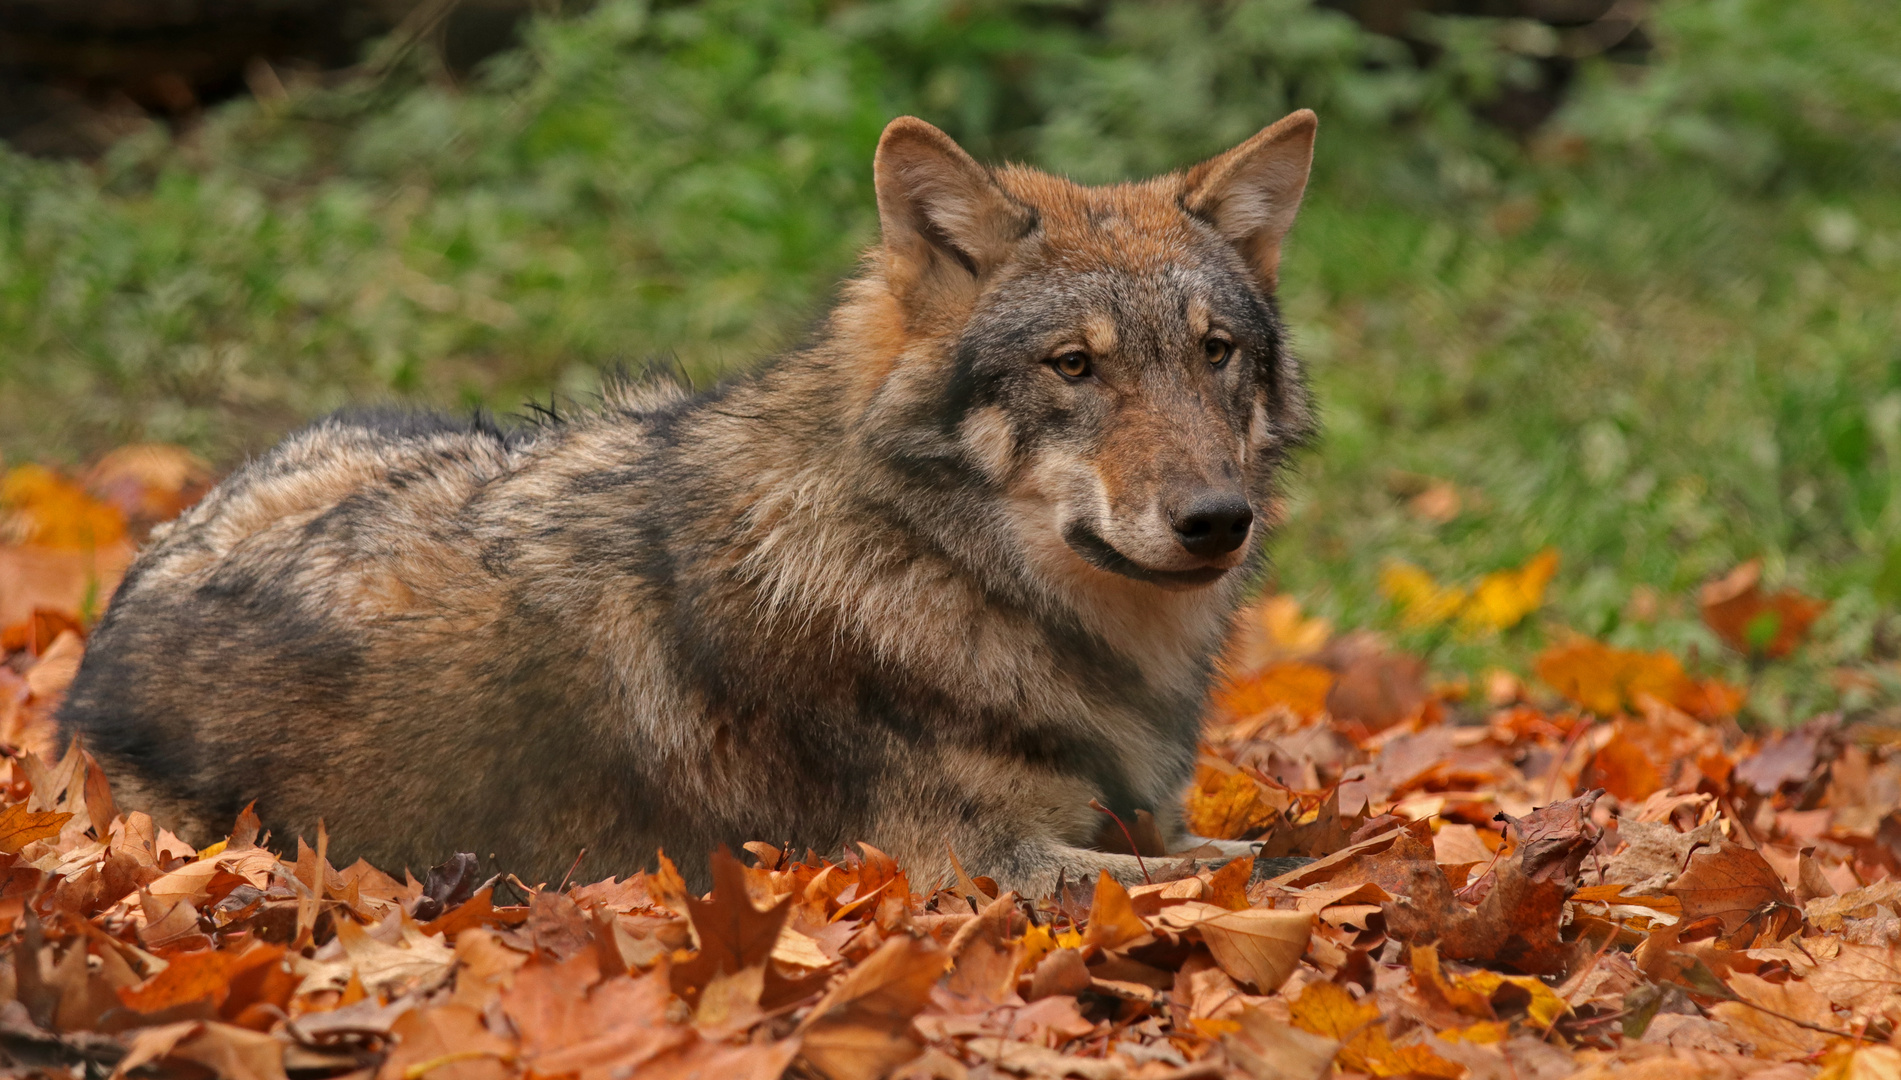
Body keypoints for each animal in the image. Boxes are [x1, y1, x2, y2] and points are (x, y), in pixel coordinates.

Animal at [52, 109, 1315, 889]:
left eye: (1213, 353)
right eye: (1073, 366)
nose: (1216, 519)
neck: (934, 570)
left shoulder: (1141, 816)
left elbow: (1244, 847)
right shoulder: (963, 867)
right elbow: (1253, 870)